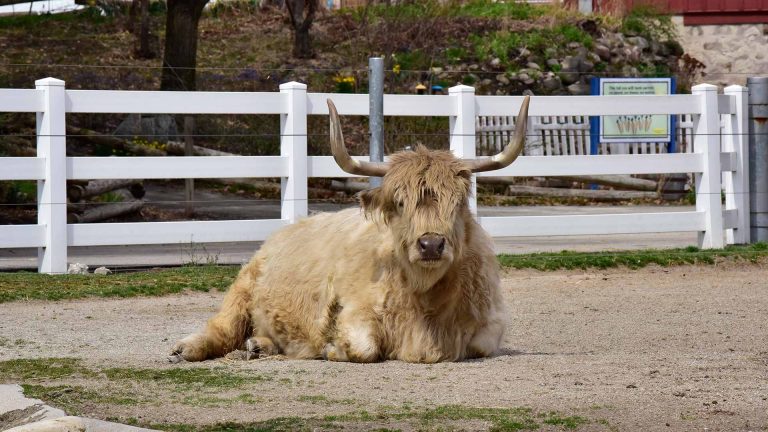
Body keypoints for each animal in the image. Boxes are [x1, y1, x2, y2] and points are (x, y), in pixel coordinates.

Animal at [169, 96, 530, 363]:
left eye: (456, 202)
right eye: (400, 203)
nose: (430, 245)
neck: (425, 299)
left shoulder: (491, 323)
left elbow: (480, 345)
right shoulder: (356, 310)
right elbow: (363, 347)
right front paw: (331, 347)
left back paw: (260, 345)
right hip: (243, 285)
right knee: (223, 327)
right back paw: (186, 348)